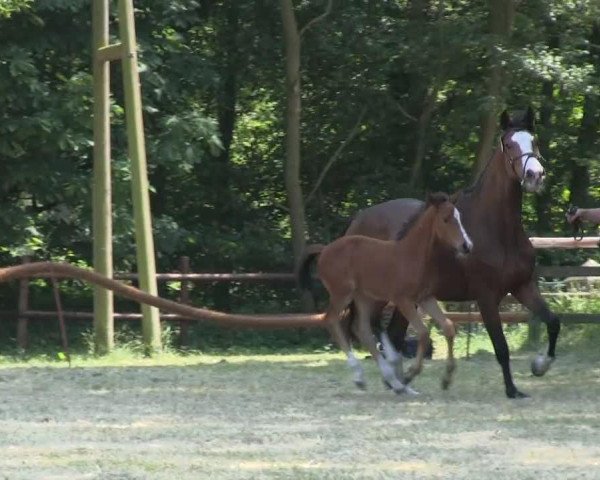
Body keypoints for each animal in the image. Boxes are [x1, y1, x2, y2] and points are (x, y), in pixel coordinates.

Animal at [298, 193, 472, 396]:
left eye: (459, 217)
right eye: (445, 219)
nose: (466, 245)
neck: (412, 255)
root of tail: (325, 249)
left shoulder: (425, 298)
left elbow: (448, 327)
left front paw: (446, 378)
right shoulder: (403, 300)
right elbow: (423, 333)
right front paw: (410, 374)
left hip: (364, 297)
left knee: (362, 329)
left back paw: (392, 381)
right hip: (342, 294)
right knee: (332, 321)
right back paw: (366, 376)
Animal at [342, 107, 564, 400]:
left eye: (534, 141)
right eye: (509, 144)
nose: (534, 175)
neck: (497, 229)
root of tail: (359, 219)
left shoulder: (522, 286)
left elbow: (553, 322)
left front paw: (539, 366)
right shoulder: (486, 297)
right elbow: (501, 347)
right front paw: (512, 389)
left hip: (406, 298)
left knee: (393, 333)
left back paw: (400, 382)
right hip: (380, 296)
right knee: (364, 328)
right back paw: (386, 377)